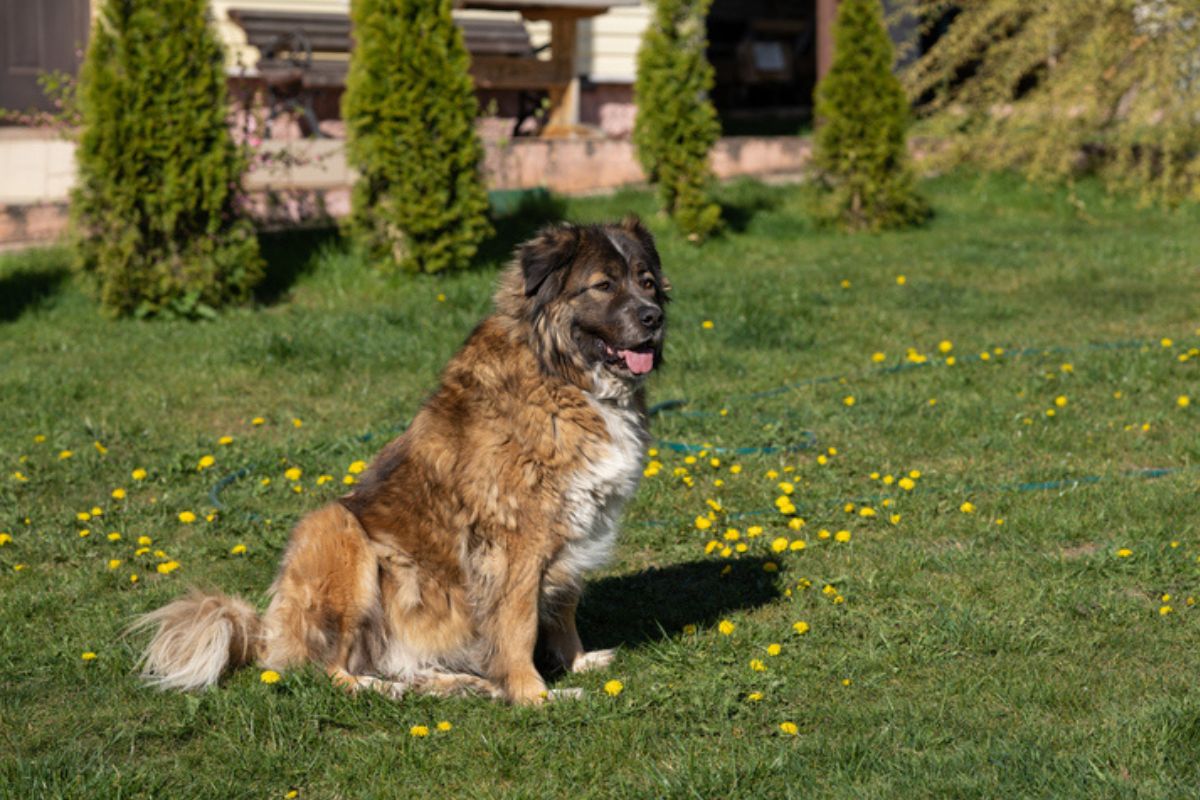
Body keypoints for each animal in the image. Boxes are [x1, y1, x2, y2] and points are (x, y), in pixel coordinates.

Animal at [139, 215, 672, 705]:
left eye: (647, 281)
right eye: (603, 285)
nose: (654, 318)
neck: (563, 375)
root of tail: (269, 633)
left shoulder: (577, 522)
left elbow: (563, 605)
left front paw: (577, 661)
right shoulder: (515, 539)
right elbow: (518, 623)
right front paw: (532, 695)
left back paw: (456, 682)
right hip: (336, 532)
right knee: (329, 668)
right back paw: (379, 687)